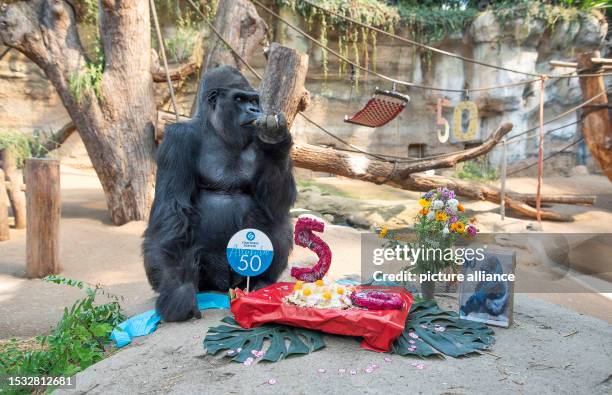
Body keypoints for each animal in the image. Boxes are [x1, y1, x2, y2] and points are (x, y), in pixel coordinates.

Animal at [143, 66, 296, 324]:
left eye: (254, 101)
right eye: (240, 99)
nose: (255, 110)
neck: (216, 130)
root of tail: (227, 286)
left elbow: (275, 203)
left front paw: (274, 140)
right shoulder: (177, 140)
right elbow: (172, 211)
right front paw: (178, 294)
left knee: (279, 221)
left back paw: (261, 283)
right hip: (210, 279)